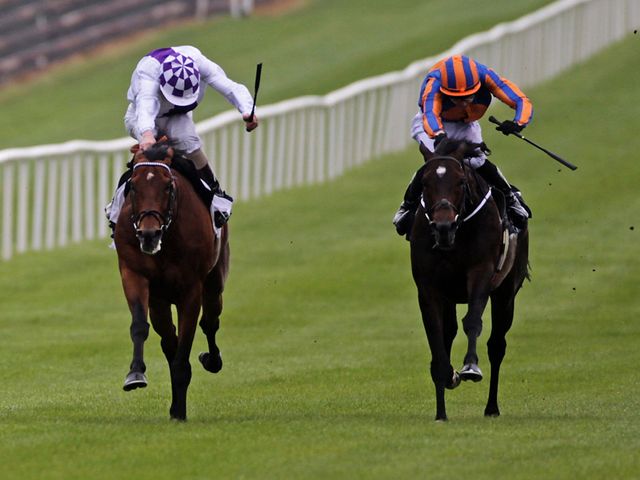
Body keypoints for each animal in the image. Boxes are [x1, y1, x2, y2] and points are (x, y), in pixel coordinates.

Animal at [115, 140, 230, 420]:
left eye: (168, 185)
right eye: (134, 185)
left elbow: (185, 349)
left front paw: (179, 411)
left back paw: (212, 360)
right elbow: (140, 326)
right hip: (160, 300)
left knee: (210, 322)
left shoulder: (191, 290)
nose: (149, 234)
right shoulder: (134, 274)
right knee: (169, 340)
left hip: (215, 280)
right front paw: (135, 373)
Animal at [410, 140, 528, 420]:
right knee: (449, 333)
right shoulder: (429, 288)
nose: (443, 227)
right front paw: (445, 391)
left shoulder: (481, 272)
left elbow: (473, 320)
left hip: (506, 294)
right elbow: (436, 337)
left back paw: (491, 407)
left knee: (497, 345)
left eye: (461, 182)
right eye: (424, 182)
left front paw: (470, 367)